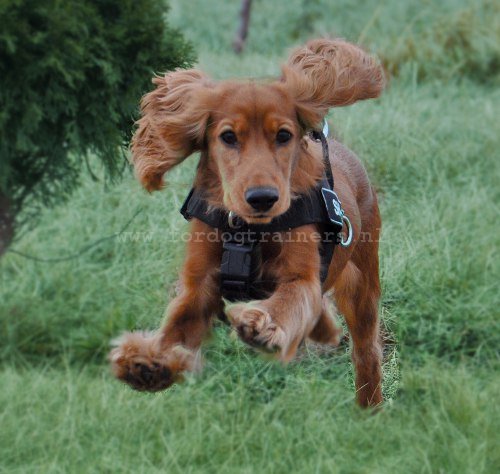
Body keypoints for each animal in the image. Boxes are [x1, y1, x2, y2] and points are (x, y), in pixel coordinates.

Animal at [109, 38, 382, 408]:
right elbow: (178, 324)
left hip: (362, 285)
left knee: (366, 351)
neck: (249, 230)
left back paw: (370, 407)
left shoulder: (302, 279)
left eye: (283, 136)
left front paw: (263, 325)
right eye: (228, 137)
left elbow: (291, 301)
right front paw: (150, 361)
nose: (262, 198)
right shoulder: (199, 286)